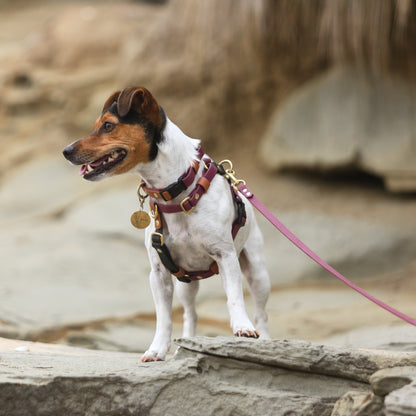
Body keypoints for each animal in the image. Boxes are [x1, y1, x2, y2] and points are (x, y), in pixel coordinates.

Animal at [61, 87, 270, 360]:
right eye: (97, 125)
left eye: (108, 126)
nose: (65, 150)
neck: (175, 191)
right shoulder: (159, 273)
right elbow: (163, 318)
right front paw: (157, 349)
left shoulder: (226, 256)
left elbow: (234, 297)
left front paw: (242, 327)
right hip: (186, 284)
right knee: (190, 313)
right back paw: (186, 343)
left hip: (257, 271)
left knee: (261, 313)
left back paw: (265, 339)